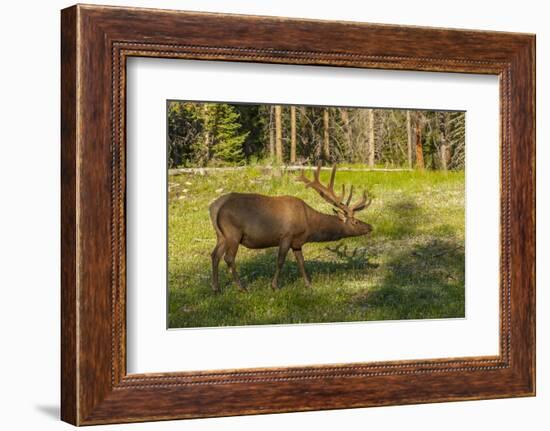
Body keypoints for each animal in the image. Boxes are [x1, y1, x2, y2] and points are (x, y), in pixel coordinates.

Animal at [209, 164, 374, 292]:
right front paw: (274, 286)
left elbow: (301, 262)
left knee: (214, 255)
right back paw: (242, 288)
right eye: (355, 222)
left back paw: (216, 288)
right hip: (233, 233)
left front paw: (308, 284)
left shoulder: (297, 242)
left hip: (221, 235)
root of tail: (214, 207)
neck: (309, 226)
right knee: (229, 258)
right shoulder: (286, 236)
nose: (370, 226)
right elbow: (280, 261)